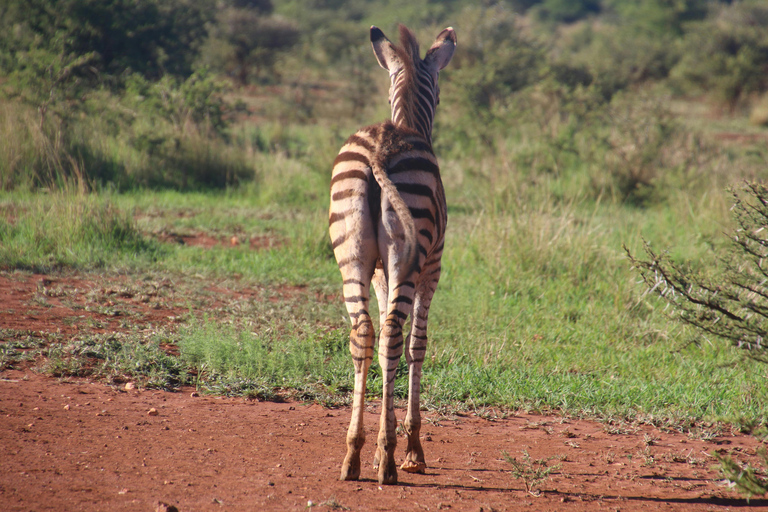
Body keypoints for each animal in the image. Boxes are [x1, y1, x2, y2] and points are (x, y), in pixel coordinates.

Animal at [326, 24, 456, 486]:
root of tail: (382, 147)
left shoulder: (382, 275)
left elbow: (383, 336)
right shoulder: (432, 269)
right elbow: (418, 344)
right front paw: (413, 448)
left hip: (351, 257)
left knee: (365, 333)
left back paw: (354, 454)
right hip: (409, 260)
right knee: (394, 337)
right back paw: (387, 462)